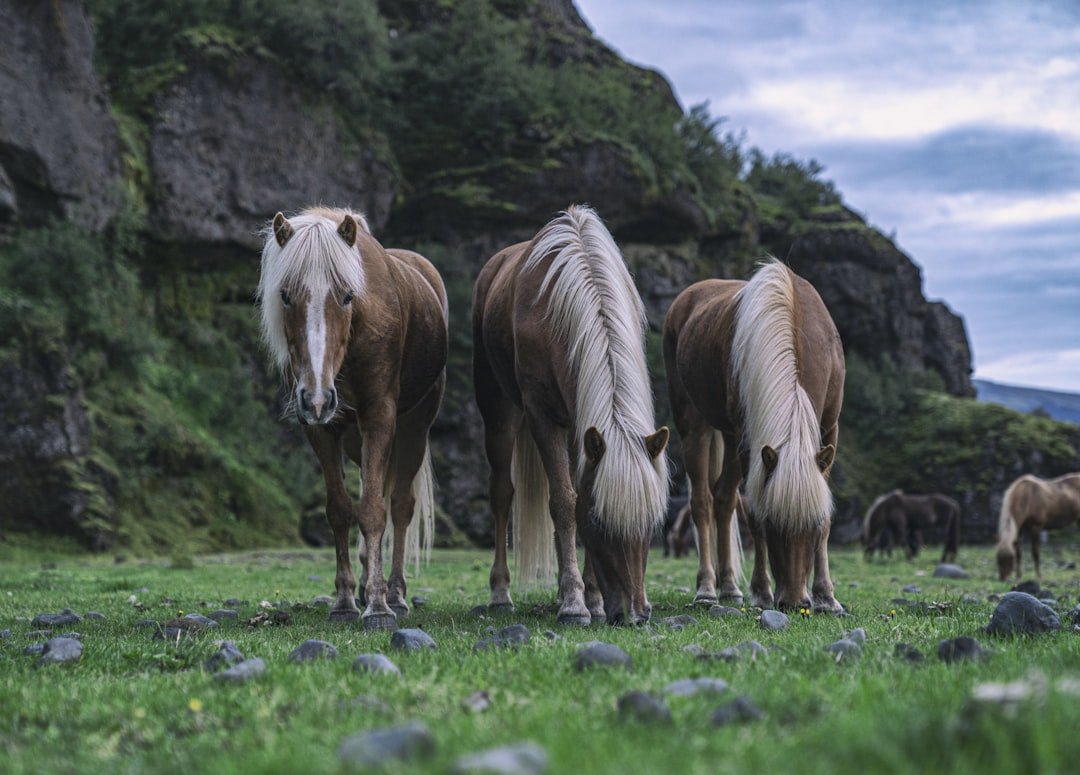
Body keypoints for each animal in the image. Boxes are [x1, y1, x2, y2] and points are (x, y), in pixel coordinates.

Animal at [258, 207, 448, 630]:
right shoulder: (323, 429)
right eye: (285, 295)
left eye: (347, 295)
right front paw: (345, 600)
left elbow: (375, 511)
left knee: (401, 505)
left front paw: (378, 606)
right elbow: (341, 510)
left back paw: (396, 593)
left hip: (415, 425)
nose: (316, 397)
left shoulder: (379, 416)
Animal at [472, 205, 669, 625]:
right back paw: (501, 594)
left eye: (651, 523)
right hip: (499, 413)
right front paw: (575, 604)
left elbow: (577, 491)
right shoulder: (542, 416)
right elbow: (565, 501)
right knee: (502, 494)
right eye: (599, 523)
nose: (636, 613)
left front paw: (591, 598)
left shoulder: (584, 426)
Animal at [663, 259, 845, 612]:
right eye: (774, 524)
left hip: (728, 438)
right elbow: (753, 513)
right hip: (695, 426)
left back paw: (730, 586)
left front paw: (826, 595)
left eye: (812, 524)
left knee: (723, 501)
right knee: (703, 502)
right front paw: (762, 591)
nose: (794, 602)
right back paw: (707, 588)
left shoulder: (830, 429)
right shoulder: (750, 444)